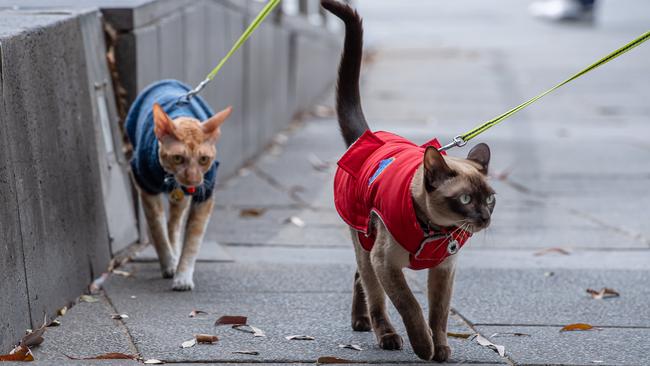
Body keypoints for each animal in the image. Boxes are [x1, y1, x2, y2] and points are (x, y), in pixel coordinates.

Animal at [322, 0, 494, 360]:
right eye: (466, 199)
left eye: (490, 199)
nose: (485, 218)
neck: (435, 230)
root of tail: (371, 137)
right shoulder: (387, 264)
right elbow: (411, 306)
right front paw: (424, 348)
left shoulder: (444, 270)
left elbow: (439, 314)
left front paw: (440, 350)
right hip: (367, 243)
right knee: (373, 293)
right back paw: (384, 335)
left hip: (368, 247)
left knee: (360, 278)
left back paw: (361, 322)